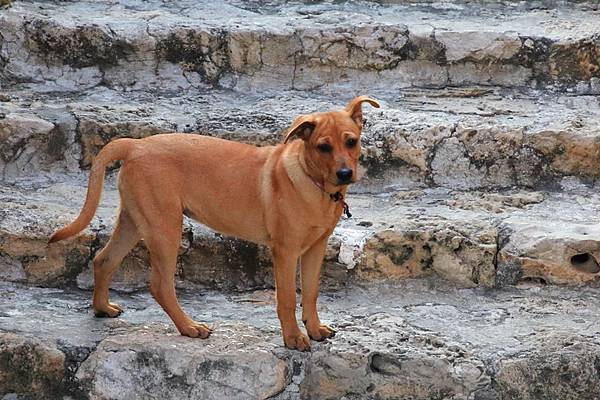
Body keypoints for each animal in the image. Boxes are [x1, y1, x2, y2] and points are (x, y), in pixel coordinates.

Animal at [51, 96, 380, 350]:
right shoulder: (285, 252)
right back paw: (189, 327)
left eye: (351, 142)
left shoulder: (315, 248)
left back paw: (102, 308)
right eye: (324, 147)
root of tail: (134, 146)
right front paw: (294, 339)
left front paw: (314, 329)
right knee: (159, 285)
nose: (345, 174)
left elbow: (310, 293)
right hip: (165, 227)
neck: (314, 183)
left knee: (104, 259)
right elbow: (287, 298)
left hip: (135, 219)